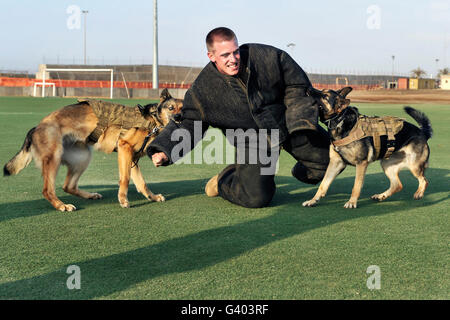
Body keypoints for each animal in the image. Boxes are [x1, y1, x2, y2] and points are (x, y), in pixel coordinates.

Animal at [3, 89, 183, 211]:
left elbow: (142, 183)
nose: (179, 118)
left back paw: (89, 195)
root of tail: (37, 127)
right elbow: (125, 179)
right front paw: (123, 200)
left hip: (83, 158)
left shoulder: (132, 158)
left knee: (68, 186)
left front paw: (152, 197)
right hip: (54, 158)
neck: (154, 121)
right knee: (48, 190)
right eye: (171, 108)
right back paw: (62, 205)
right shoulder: (124, 149)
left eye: (183, 108)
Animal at [302, 86, 432, 209]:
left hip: (414, 166)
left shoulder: (361, 163)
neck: (340, 120)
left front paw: (352, 202)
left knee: (424, 180)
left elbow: (356, 185)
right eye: (322, 91)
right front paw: (313, 201)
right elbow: (323, 184)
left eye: (325, 96)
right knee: (397, 185)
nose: (308, 88)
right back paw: (381, 196)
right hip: (387, 164)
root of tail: (422, 132)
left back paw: (419, 193)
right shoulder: (335, 163)